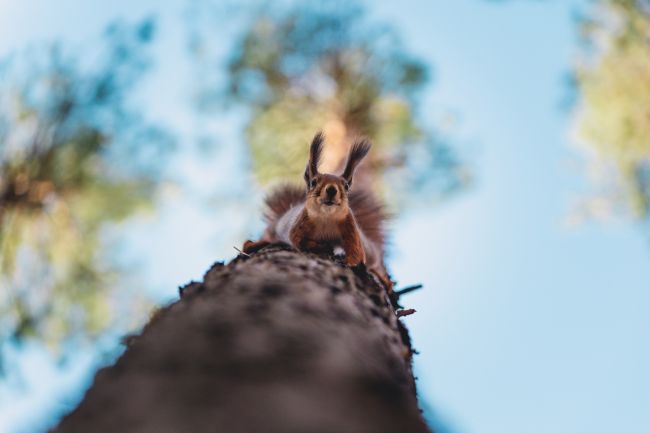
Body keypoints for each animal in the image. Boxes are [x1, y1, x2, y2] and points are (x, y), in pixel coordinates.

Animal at [240, 132, 388, 286]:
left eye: (346, 186)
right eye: (313, 182)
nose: (331, 190)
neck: (326, 216)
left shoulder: (350, 226)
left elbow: (356, 251)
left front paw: (352, 263)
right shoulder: (298, 226)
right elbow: (299, 241)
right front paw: (324, 246)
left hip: (368, 248)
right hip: (274, 228)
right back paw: (252, 244)